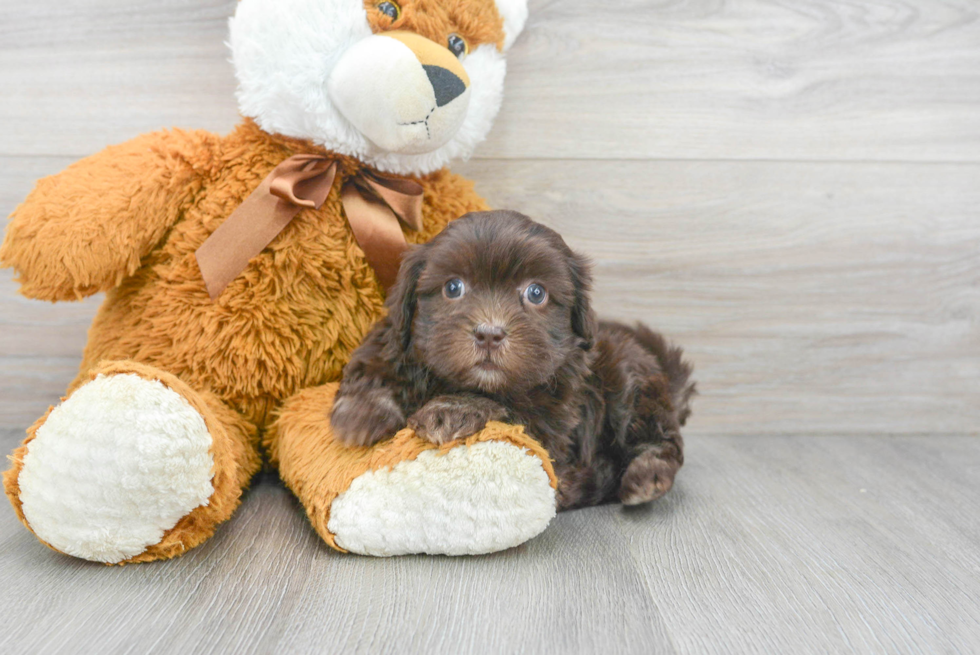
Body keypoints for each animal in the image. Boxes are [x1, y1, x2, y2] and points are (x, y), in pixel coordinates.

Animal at [334, 210, 692, 508]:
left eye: (536, 293)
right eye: (453, 287)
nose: (489, 334)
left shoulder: (550, 421)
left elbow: (506, 408)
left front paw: (452, 410)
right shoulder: (394, 338)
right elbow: (374, 366)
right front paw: (362, 411)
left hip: (630, 379)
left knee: (658, 438)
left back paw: (644, 477)